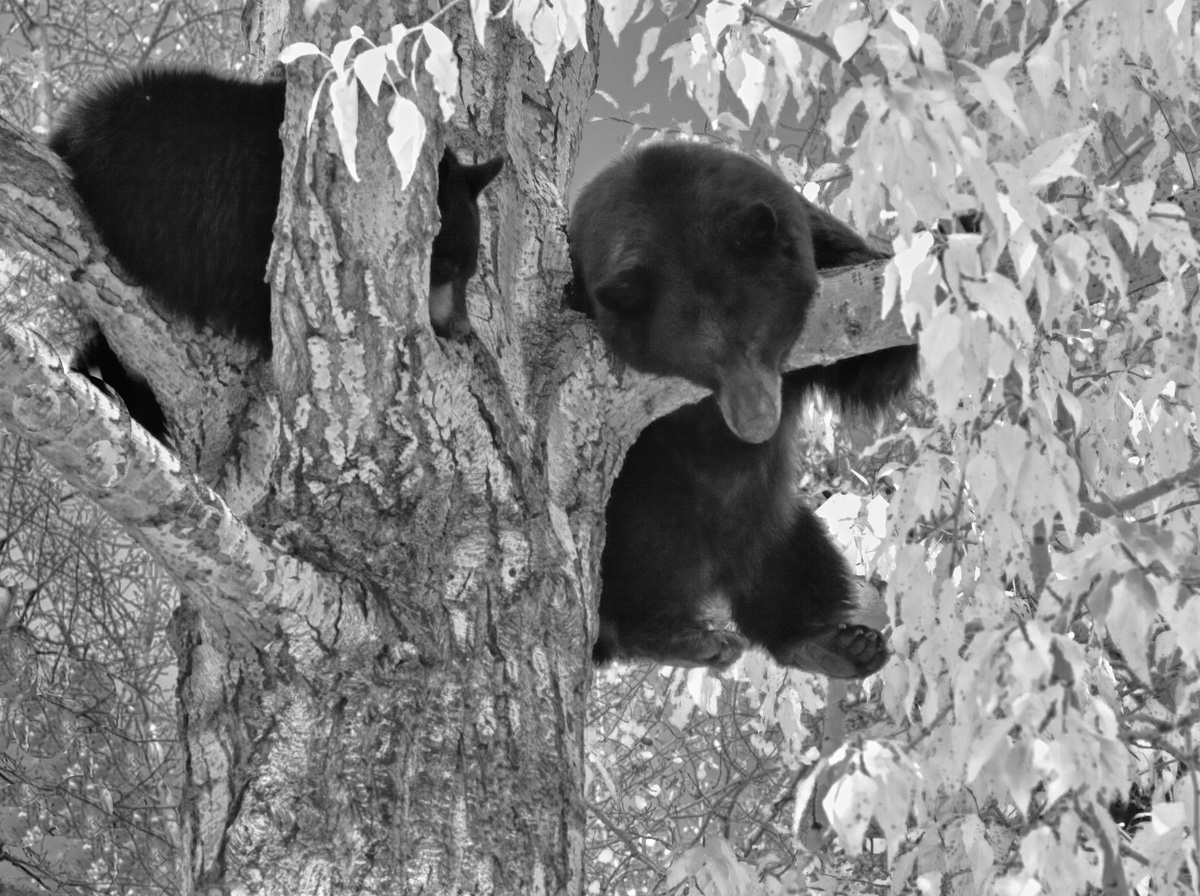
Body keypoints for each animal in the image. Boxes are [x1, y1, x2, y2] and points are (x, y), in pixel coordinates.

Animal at [568, 141, 916, 678]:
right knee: (643, 557)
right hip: (639, 519)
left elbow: (873, 357)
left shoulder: (815, 240)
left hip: (773, 519)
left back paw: (833, 641)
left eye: (761, 336)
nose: (755, 423)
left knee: (797, 556)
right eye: (703, 361)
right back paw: (676, 636)